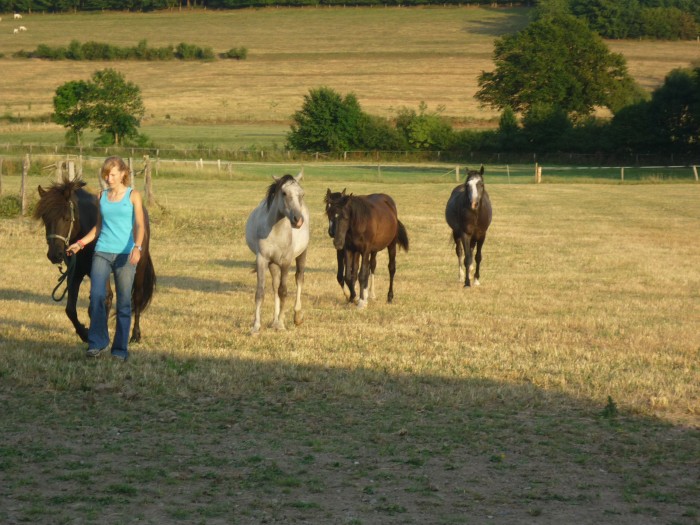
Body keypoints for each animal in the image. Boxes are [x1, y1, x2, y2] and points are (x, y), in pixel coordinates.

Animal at [34, 174, 155, 342]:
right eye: (45, 218)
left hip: (139, 266)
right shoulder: (76, 273)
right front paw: (85, 333)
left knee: (136, 298)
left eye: (66, 218)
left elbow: (103, 301)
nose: (54, 254)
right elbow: (71, 309)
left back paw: (135, 335)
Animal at [247, 174, 310, 334]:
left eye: (302, 194)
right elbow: (261, 293)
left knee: (299, 279)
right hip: (273, 264)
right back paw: (274, 321)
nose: (298, 220)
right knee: (275, 285)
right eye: (284, 193)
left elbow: (283, 291)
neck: (275, 230)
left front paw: (281, 324)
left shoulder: (286, 262)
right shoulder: (262, 260)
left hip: (302, 254)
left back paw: (296, 316)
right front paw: (256, 326)